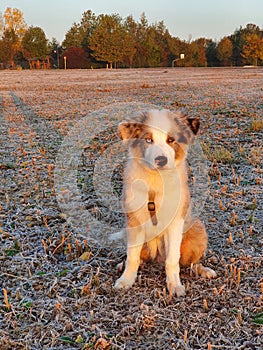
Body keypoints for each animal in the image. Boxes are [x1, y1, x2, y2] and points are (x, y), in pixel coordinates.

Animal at [115, 108, 217, 296]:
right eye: (148, 140)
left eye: (171, 140)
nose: (160, 160)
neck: (156, 181)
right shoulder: (134, 221)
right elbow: (132, 256)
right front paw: (126, 280)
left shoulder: (175, 223)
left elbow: (173, 259)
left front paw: (174, 285)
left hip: (197, 232)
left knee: (189, 262)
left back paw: (203, 270)